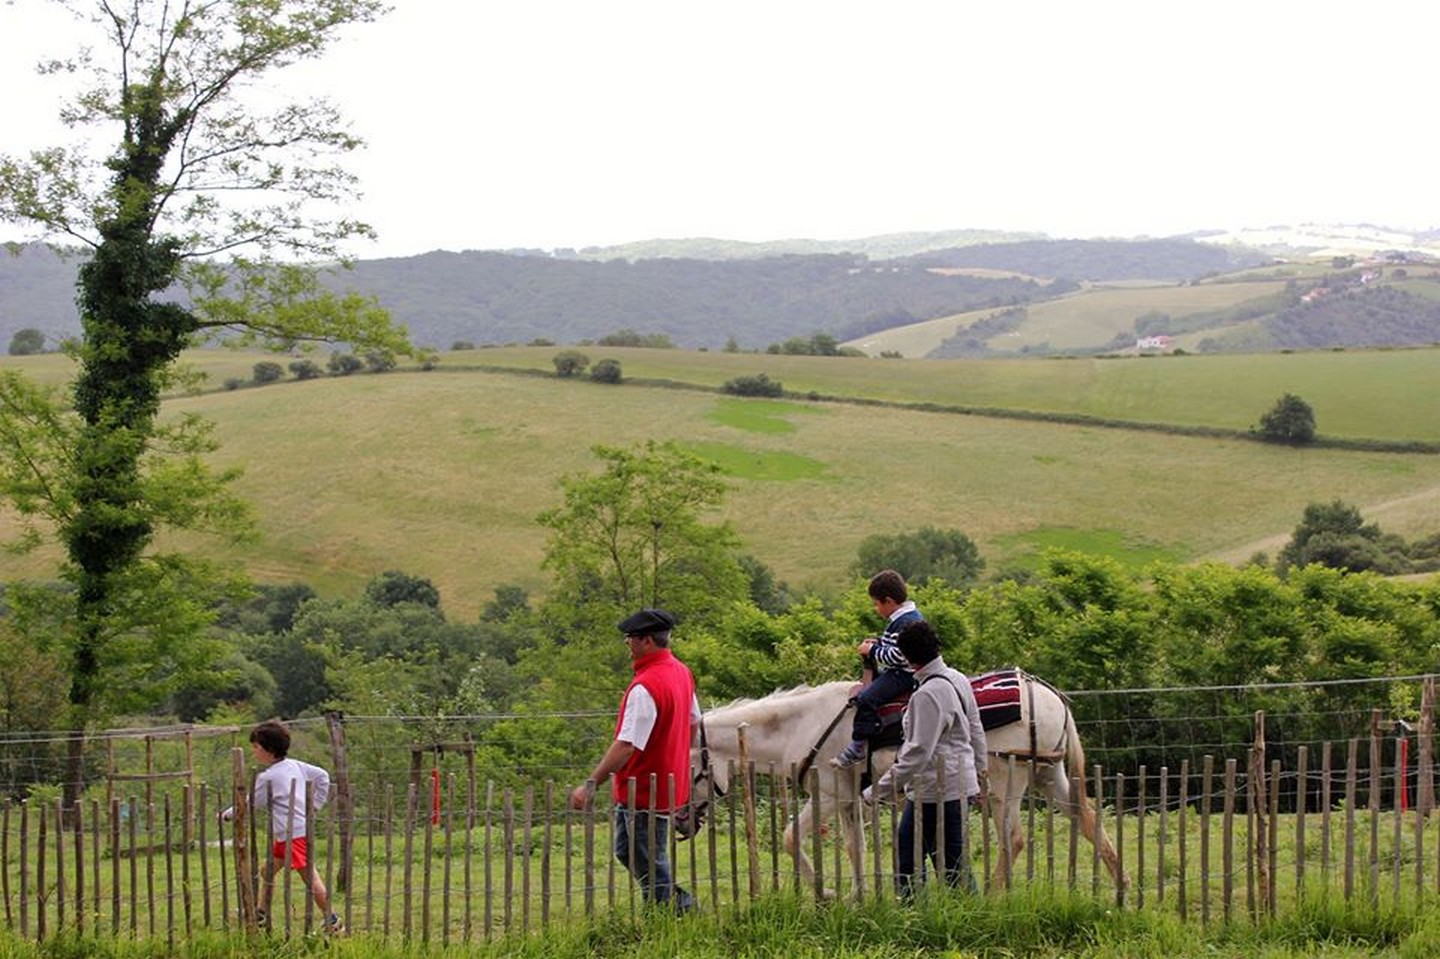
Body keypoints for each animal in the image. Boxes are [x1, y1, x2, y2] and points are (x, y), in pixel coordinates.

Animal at [694, 672, 1128, 895]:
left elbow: (790, 837)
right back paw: (1121, 884)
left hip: (1007, 782)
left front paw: (826, 892)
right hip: (1048, 776)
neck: (804, 723)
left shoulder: (830, 795)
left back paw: (992, 893)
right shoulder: (850, 801)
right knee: (1088, 822)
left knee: (1015, 839)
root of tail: (1051, 697)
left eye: (691, 763)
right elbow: (856, 848)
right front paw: (857, 897)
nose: (684, 822)